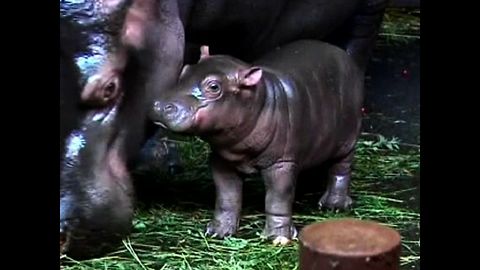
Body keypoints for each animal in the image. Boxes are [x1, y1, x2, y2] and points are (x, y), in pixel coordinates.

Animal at [153, 40, 364, 245]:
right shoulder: (222, 160)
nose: (160, 106)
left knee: (341, 168)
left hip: (348, 140)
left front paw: (277, 238)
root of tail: (341, 53)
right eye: (185, 70)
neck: (259, 99)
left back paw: (333, 205)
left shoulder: (281, 163)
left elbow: (277, 199)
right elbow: (226, 196)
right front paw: (218, 232)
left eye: (214, 87)